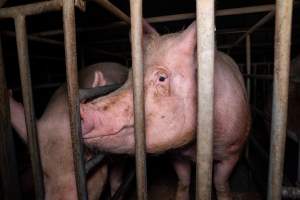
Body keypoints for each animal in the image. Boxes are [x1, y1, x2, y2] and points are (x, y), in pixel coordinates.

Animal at [80, 21, 251, 200]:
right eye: (129, 77)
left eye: (161, 78)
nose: (83, 109)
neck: (196, 146)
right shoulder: (176, 154)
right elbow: (184, 181)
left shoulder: (233, 150)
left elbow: (221, 182)